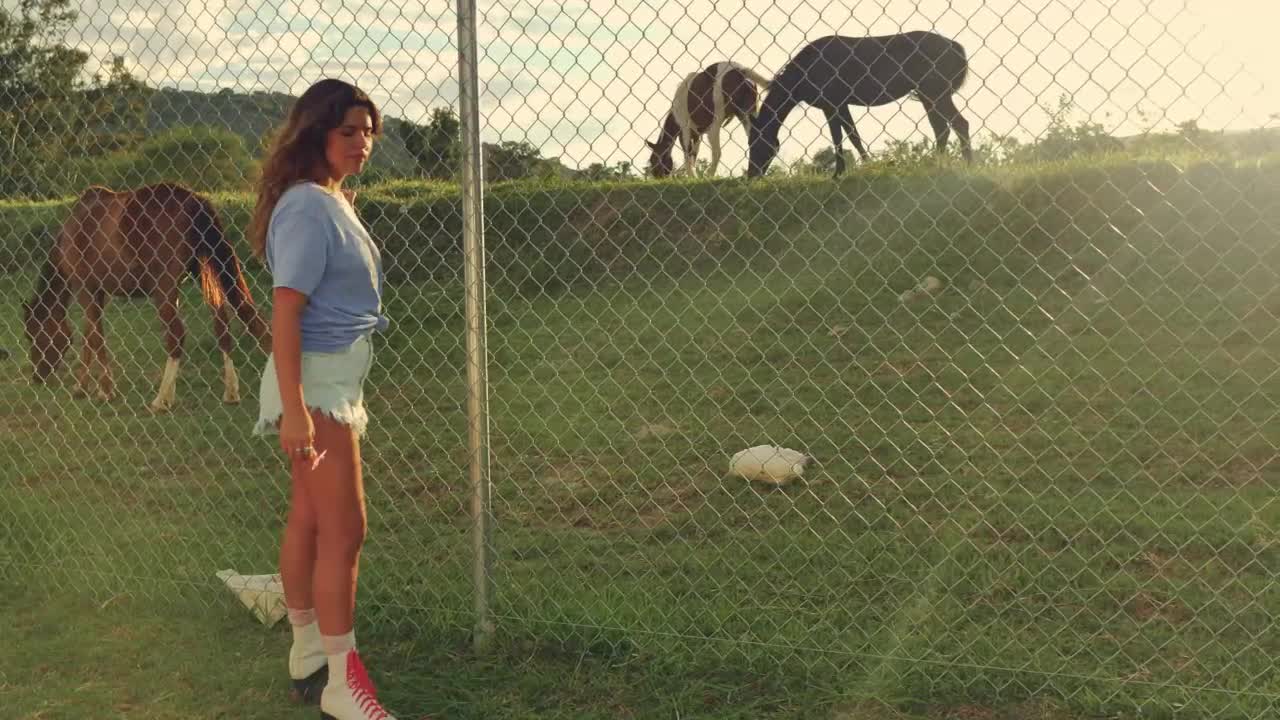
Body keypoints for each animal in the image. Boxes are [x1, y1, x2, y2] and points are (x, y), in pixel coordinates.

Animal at [22, 181, 270, 412]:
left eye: (32, 334)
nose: (37, 376)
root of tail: (193, 200)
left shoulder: (86, 289)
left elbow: (94, 337)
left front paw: (105, 391)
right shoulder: (99, 293)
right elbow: (89, 336)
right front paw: (82, 388)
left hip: (165, 288)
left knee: (176, 336)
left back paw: (161, 400)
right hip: (204, 273)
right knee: (222, 327)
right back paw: (231, 392)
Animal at [645, 59, 773, 176]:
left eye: (654, 160)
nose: (658, 177)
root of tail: (740, 71)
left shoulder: (685, 130)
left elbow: (687, 155)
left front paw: (692, 177)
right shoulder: (697, 135)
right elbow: (693, 156)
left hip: (715, 125)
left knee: (717, 152)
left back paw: (710, 175)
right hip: (748, 114)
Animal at [747, 31, 972, 178]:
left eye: (758, 143)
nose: (752, 175)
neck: (807, 70)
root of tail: (956, 46)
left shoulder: (832, 105)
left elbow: (840, 137)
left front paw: (839, 173)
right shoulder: (839, 106)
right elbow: (852, 135)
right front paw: (866, 164)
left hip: (935, 94)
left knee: (958, 124)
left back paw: (964, 163)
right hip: (930, 97)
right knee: (943, 128)